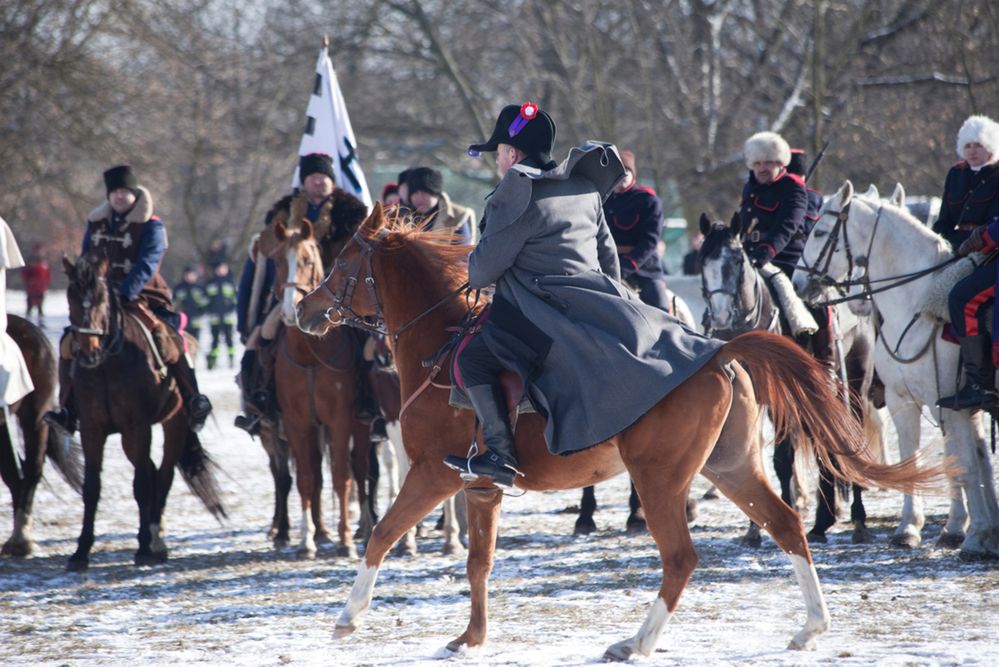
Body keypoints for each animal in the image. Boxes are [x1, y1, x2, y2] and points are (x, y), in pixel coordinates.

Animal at [63, 253, 226, 572]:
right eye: (70, 296)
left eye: (101, 298)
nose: (87, 352)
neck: (108, 363)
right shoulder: (92, 429)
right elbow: (92, 487)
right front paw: (81, 551)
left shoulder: (138, 426)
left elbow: (141, 485)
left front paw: (143, 548)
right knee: (151, 472)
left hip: (173, 426)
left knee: (162, 476)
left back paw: (155, 541)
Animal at [264, 220, 374, 560]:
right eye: (276, 261)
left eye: (308, 261)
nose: (290, 311)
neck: (310, 355)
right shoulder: (297, 423)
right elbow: (306, 478)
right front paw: (307, 540)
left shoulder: (340, 420)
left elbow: (342, 476)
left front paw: (345, 540)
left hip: (360, 426)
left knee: (360, 468)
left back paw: (363, 527)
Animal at [296, 205, 952, 664]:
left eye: (343, 260)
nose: (304, 312)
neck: (441, 340)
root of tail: (716, 352)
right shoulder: (481, 488)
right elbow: (479, 563)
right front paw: (471, 638)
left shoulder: (433, 474)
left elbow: (381, 534)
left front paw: (348, 617)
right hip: (730, 468)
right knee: (786, 524)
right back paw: (811, 628)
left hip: (660, 480)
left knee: (681, 557)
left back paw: (634, 643)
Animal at [792, 180, 999, 560]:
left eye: (820, 232)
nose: (798, 282)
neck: (917, 304)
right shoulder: (905, 401)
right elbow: (921, 458)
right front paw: (911, 529)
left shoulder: (948, 403)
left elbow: (963, 462)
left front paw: (973, 534)